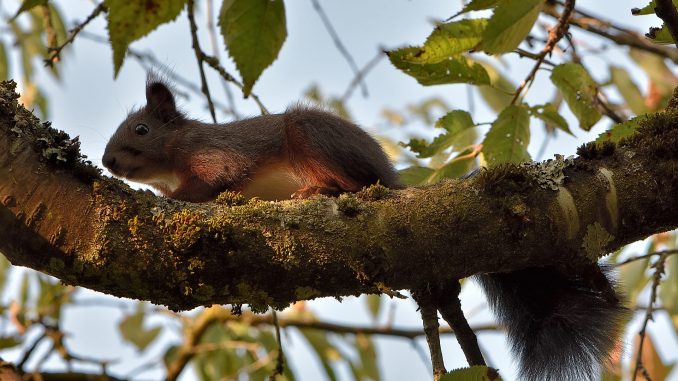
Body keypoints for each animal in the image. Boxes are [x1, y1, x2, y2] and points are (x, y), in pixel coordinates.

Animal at [103, 75, 628, 378]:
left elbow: (209, 184)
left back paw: (318, 192)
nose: (108, 161)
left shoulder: (216, 158)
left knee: (351, 185)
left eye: (141, 131)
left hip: (312, 138)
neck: (177, 150)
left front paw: (167, 197)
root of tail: (390, 180)